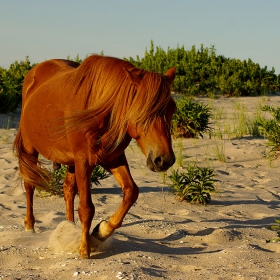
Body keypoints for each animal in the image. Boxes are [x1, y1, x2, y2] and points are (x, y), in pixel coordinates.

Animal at [13, 54, 176, 258]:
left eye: (172, 110)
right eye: (143, 110)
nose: (164, 160)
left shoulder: (113, 158)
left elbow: (131, 191)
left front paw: (101, 231)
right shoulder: (84, 161)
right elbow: (86, 208)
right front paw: (84, 249)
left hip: (71, 162)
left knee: (67, 189)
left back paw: (69, 227)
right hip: (30, 149)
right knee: (30, 185)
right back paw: (30, 225)